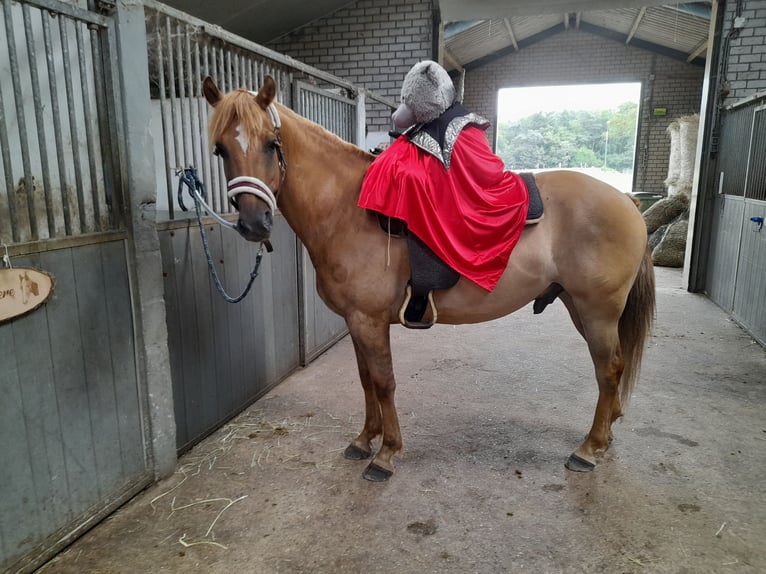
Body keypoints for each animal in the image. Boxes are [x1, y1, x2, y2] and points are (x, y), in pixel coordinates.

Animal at [201, 75, 656, 482]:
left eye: (270, 143)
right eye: (220, 149)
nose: (254, 224)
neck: (348, 210)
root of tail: (626, 201)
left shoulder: (369, 321)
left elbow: (384, 382)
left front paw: (386, 453)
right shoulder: (357, 322)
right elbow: (366, 381)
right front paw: (364, 439)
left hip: (597, 311)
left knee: (608, 370)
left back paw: (588, 449)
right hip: (581, 308)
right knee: (612, 370)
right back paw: (606, 433)